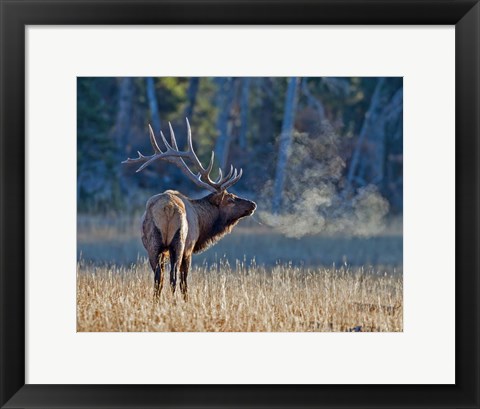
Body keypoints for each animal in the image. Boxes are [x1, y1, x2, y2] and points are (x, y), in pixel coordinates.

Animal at [124, 118, 256, 300]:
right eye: (230, 199)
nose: (253, 204)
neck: (202, 223)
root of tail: (167, 208)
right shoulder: (189, 248)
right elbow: (184, 282)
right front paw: (186, 300)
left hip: (153, 244)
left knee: (158, 278)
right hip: (179, 242)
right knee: (173, 277)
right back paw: (174, 301)